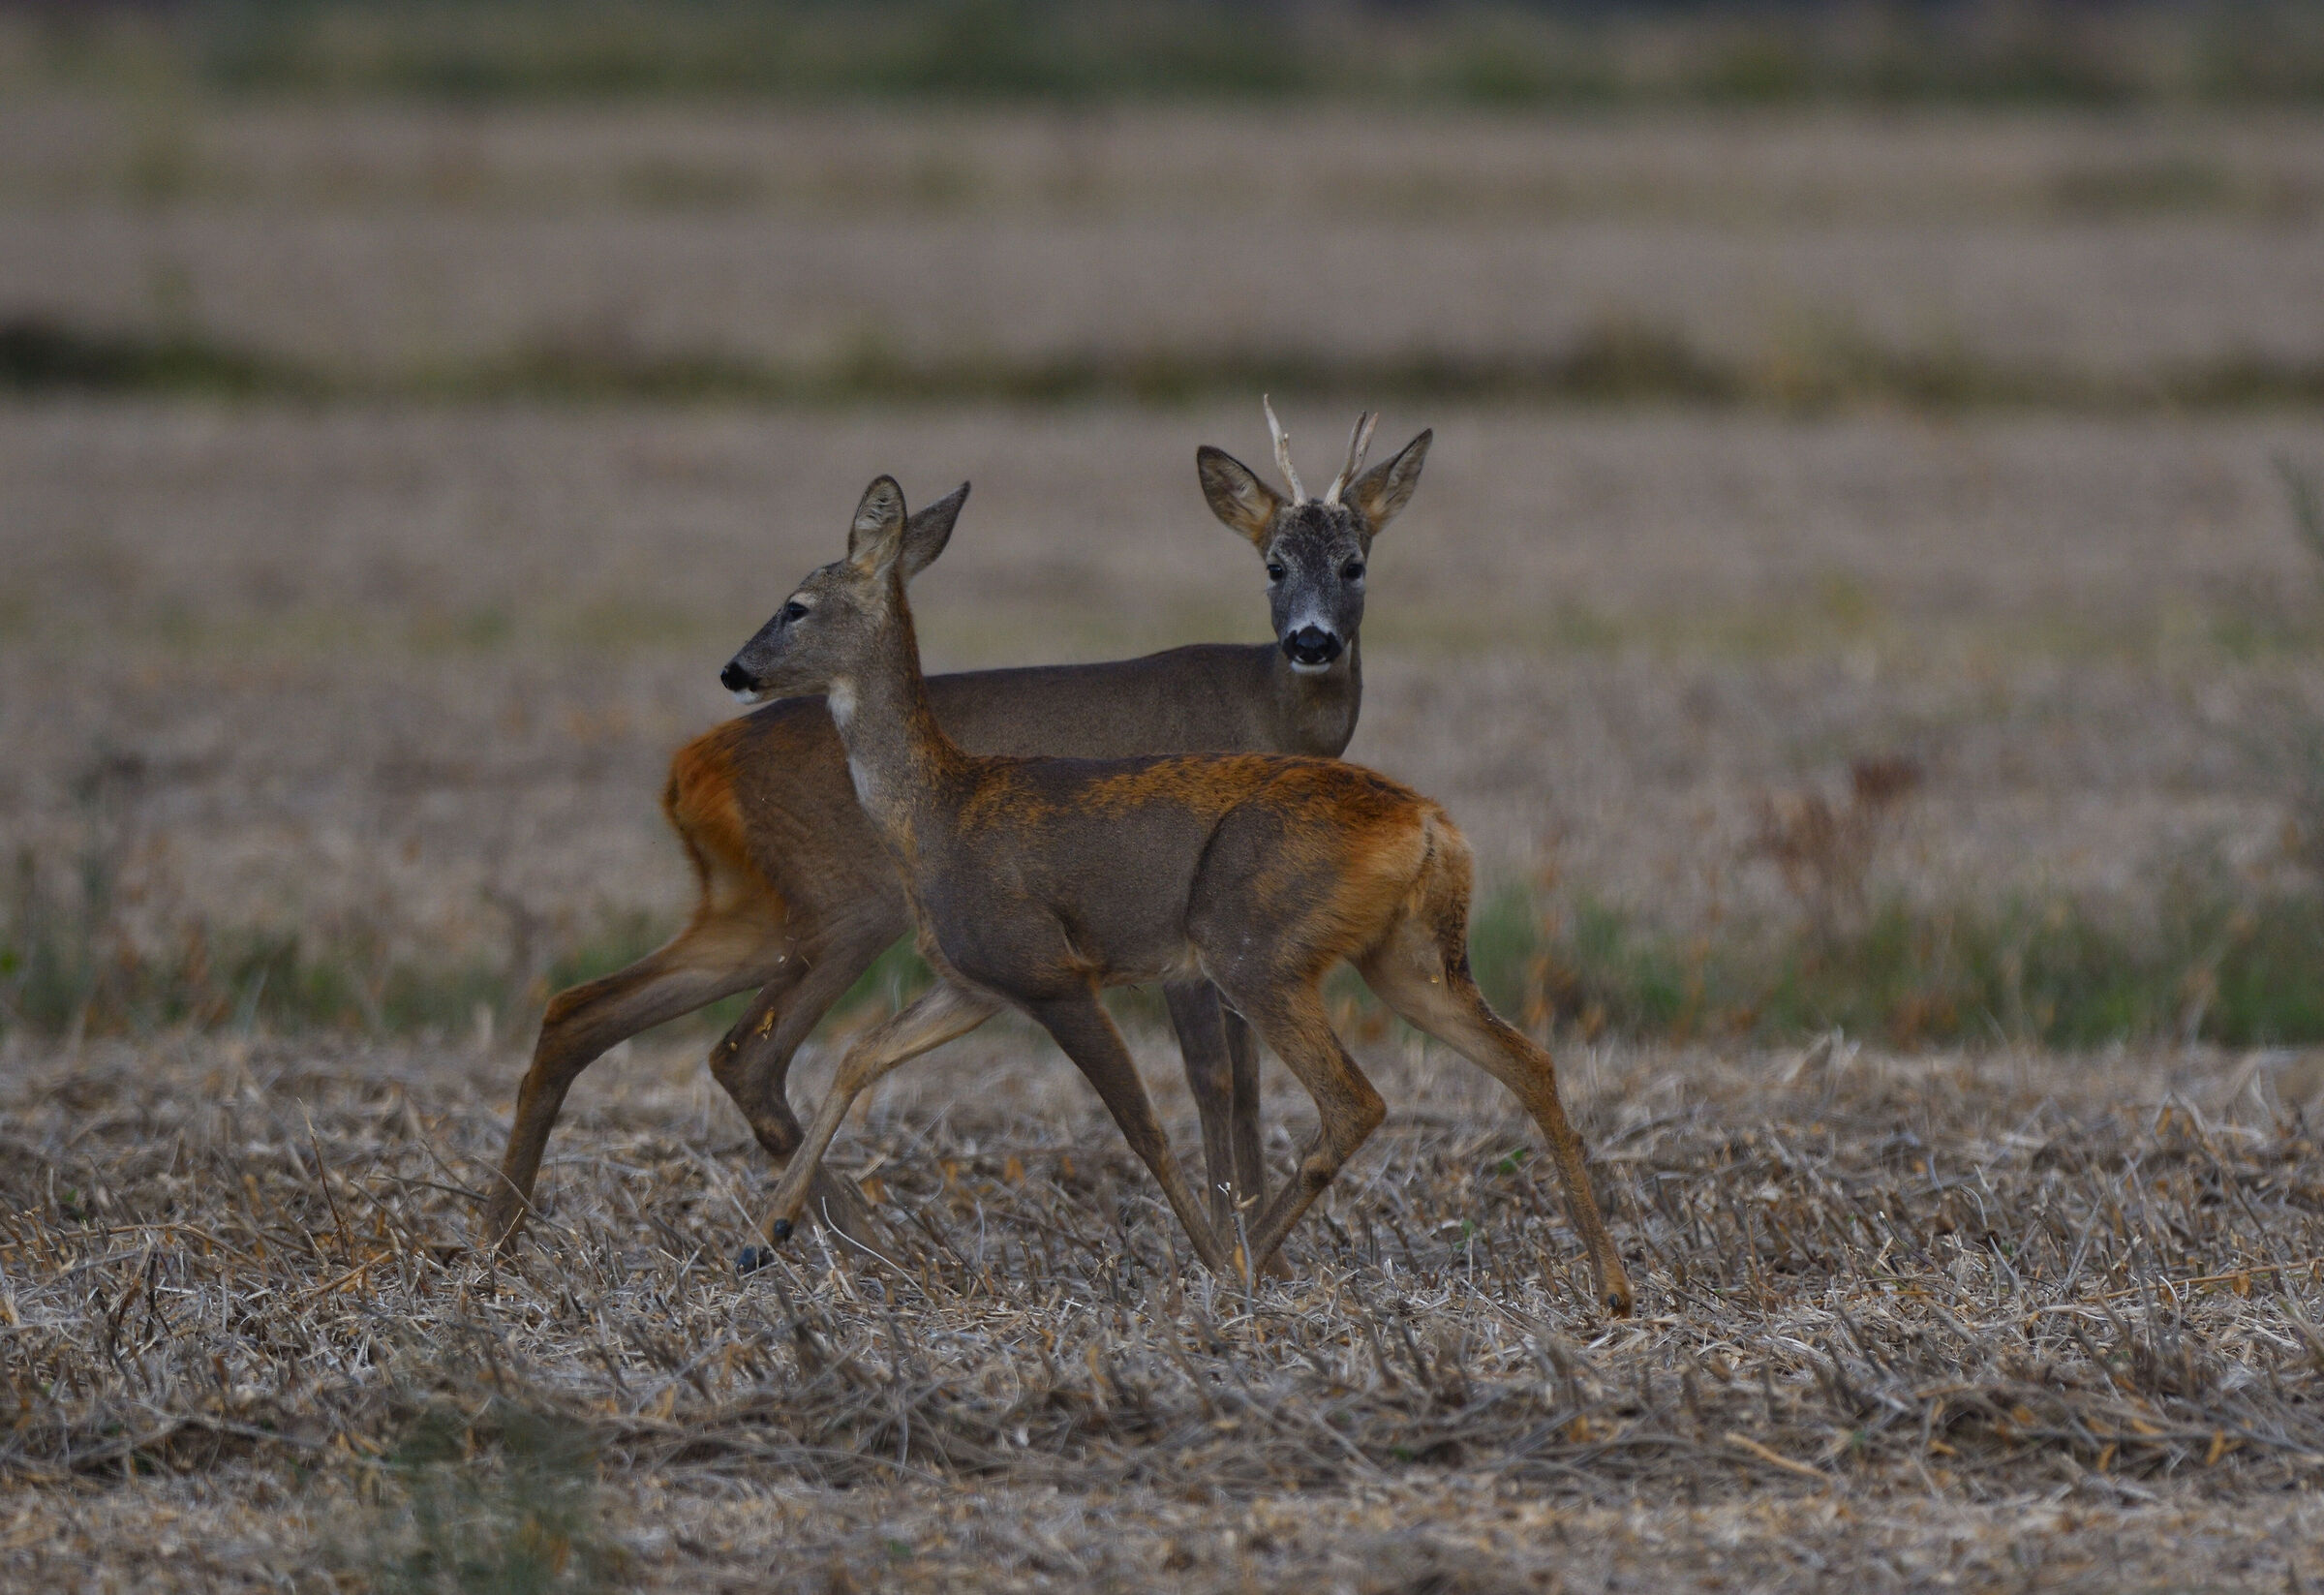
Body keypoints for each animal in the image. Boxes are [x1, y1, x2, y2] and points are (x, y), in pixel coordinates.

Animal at [481, 404, 1432, 1259]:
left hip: (752, 911)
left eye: (1355, 564)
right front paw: (1238, 1243)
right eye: (1273, 565)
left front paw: (1252, 1239)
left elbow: (1244, 1079)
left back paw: (501, 1233)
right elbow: (1217, 1078)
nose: (1312, 642)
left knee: (581, 1010)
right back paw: (859, 1245)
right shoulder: (1169, 928)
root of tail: (688, 766)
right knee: (745, 1052)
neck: (1265, 708)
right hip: (843, 907)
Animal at [717, 473, 1636, 1317]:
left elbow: (1144, 1126)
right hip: (1408, 956)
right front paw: (762, 1238)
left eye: (796, 606)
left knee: (1355, 1098)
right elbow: (859, 1057)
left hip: (1255, 942)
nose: (734, 669)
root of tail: (1431, 823)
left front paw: (1202, 1252)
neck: (937, 808)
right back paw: (1613, 1284)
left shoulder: (1050, 969)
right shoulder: (974, 983)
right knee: (1527, 1059)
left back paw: (1239, 1266)